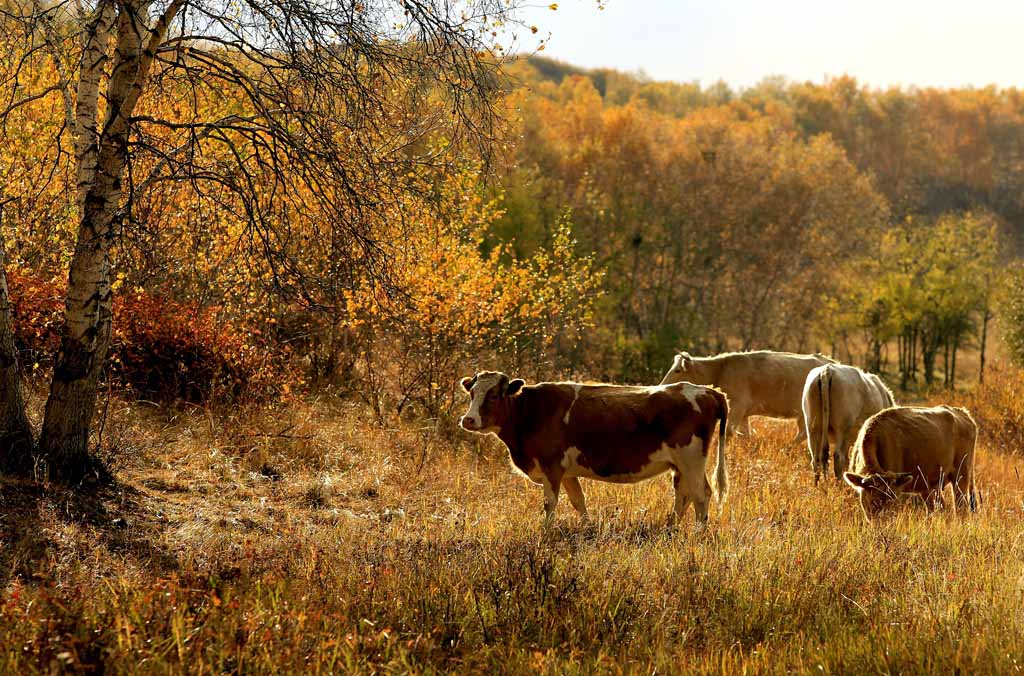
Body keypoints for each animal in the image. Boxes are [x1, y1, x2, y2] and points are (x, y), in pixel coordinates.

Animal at [456, 372, 729, 532]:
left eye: (493, 395)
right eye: (472, 393)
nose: (468, 420)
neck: (529, 411)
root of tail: (708, 391)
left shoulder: (551, 466)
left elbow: (550, 503)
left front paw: (545, 533)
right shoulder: (566, 473)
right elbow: (578, 501)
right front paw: (587, 528)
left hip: (691, 460)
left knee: (701, 495)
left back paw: (698, 533)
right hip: (680, 465)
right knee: (683, 496)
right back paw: (670, 528)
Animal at [663, 348, 831, 444]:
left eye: (678, 370)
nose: (662, 385)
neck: (721, 369)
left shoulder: (738, 405)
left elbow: (728, 431)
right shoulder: (744, 413)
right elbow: (744, 435)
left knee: (805, 434)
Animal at [843, 403, 978, 520]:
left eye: (893, 502)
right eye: (872, 502)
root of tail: (964, 415)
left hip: (961, 477)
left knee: (961, 507)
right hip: (930, 486)